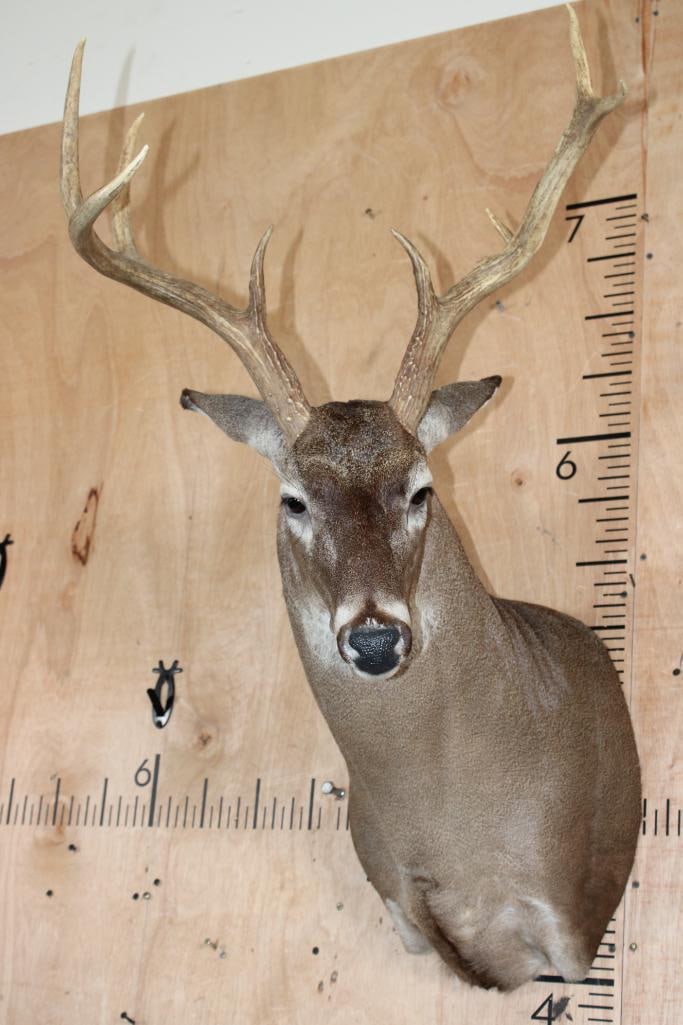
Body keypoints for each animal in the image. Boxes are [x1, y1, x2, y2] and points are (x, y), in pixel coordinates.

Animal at [61, 6, 640, 992]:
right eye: (293, 499)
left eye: (420, 487)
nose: (375, 638)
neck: (458, 828)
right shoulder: (404, 912)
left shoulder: (572, 910)